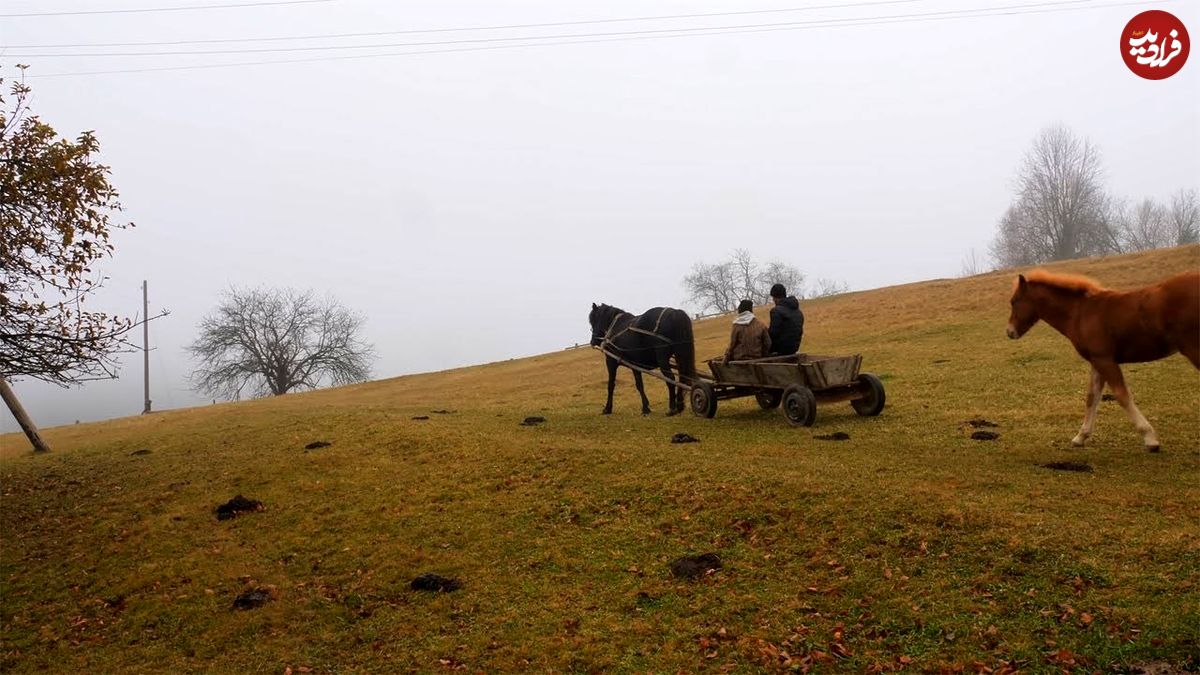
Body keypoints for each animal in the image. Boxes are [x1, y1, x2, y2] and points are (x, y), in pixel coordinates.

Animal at [1008, 269, 1195, 451]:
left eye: (1014, 301)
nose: (1009, 332)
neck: (1081, 312)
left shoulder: (1105, 359)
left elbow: (1121, 395)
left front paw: (1150, 439)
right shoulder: (1096, 361)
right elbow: (1092, 397)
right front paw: (1080, 437)